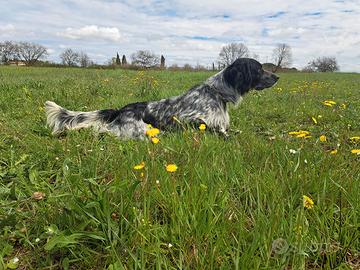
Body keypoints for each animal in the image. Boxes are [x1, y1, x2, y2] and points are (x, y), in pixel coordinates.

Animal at [45, 57, 278, 139]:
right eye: (259, 69)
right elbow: (217, 131)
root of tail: (121, 110)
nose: (277, 76)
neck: (217, 93)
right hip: (144, 130)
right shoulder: (189, 120)